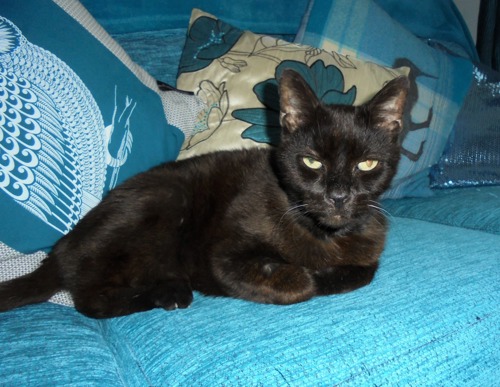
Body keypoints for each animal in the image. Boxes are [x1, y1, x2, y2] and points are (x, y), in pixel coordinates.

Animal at [0, 69, 406, 318]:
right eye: (312, 162)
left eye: (367, 164)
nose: (338, 196)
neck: (322, 234)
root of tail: (59, 249)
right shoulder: (223, 254)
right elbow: (301, 282)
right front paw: (307, 276)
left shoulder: (367, 252)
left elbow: (360, 272)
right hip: (166, 197)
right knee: (90, 299)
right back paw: (169, 292)